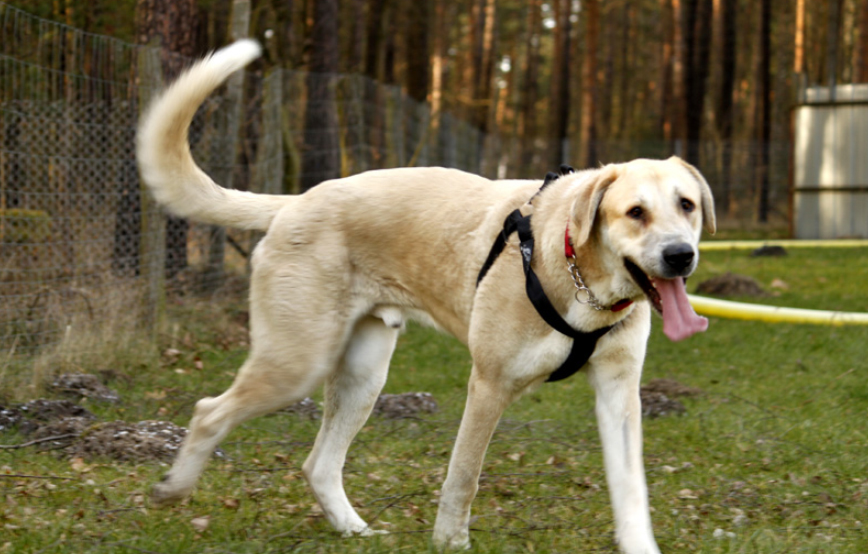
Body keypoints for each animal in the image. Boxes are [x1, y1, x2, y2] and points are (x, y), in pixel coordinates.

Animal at [136, 40, 716, 552]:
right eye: (635, 212)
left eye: (686, 205)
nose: (680, 256)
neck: (582, 276)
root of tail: (296, 201)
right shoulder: (489, 384)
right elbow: (464, 474)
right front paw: (450, 542)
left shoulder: (619, 395)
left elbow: (632, 492)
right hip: (296, 361)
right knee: (210, 411)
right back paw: (173, 490)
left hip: (363, 375)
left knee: (319, 464)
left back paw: (355, 531)